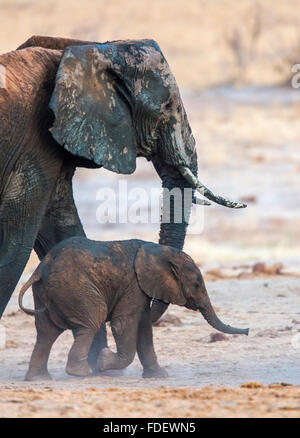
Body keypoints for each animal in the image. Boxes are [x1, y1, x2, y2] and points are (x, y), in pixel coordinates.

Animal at [0, 35, 245, 362]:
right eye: (166, 107)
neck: (86, 50)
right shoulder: (33, 142)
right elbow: (17, 242)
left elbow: (61, 231)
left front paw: (95, 361)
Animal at [18, 236, 248, 380]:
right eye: (198, 285)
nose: (247, 330)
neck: (158, 250)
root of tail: (40, 268)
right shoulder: (133, 284)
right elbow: (123, 324)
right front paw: (103, 361)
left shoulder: (140, 290)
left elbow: (144, 327)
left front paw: (158, 376)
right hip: (73, 287)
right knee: (92, 320)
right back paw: (82, 372)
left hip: (47, 293)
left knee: (46, 332)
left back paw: (39, 378)